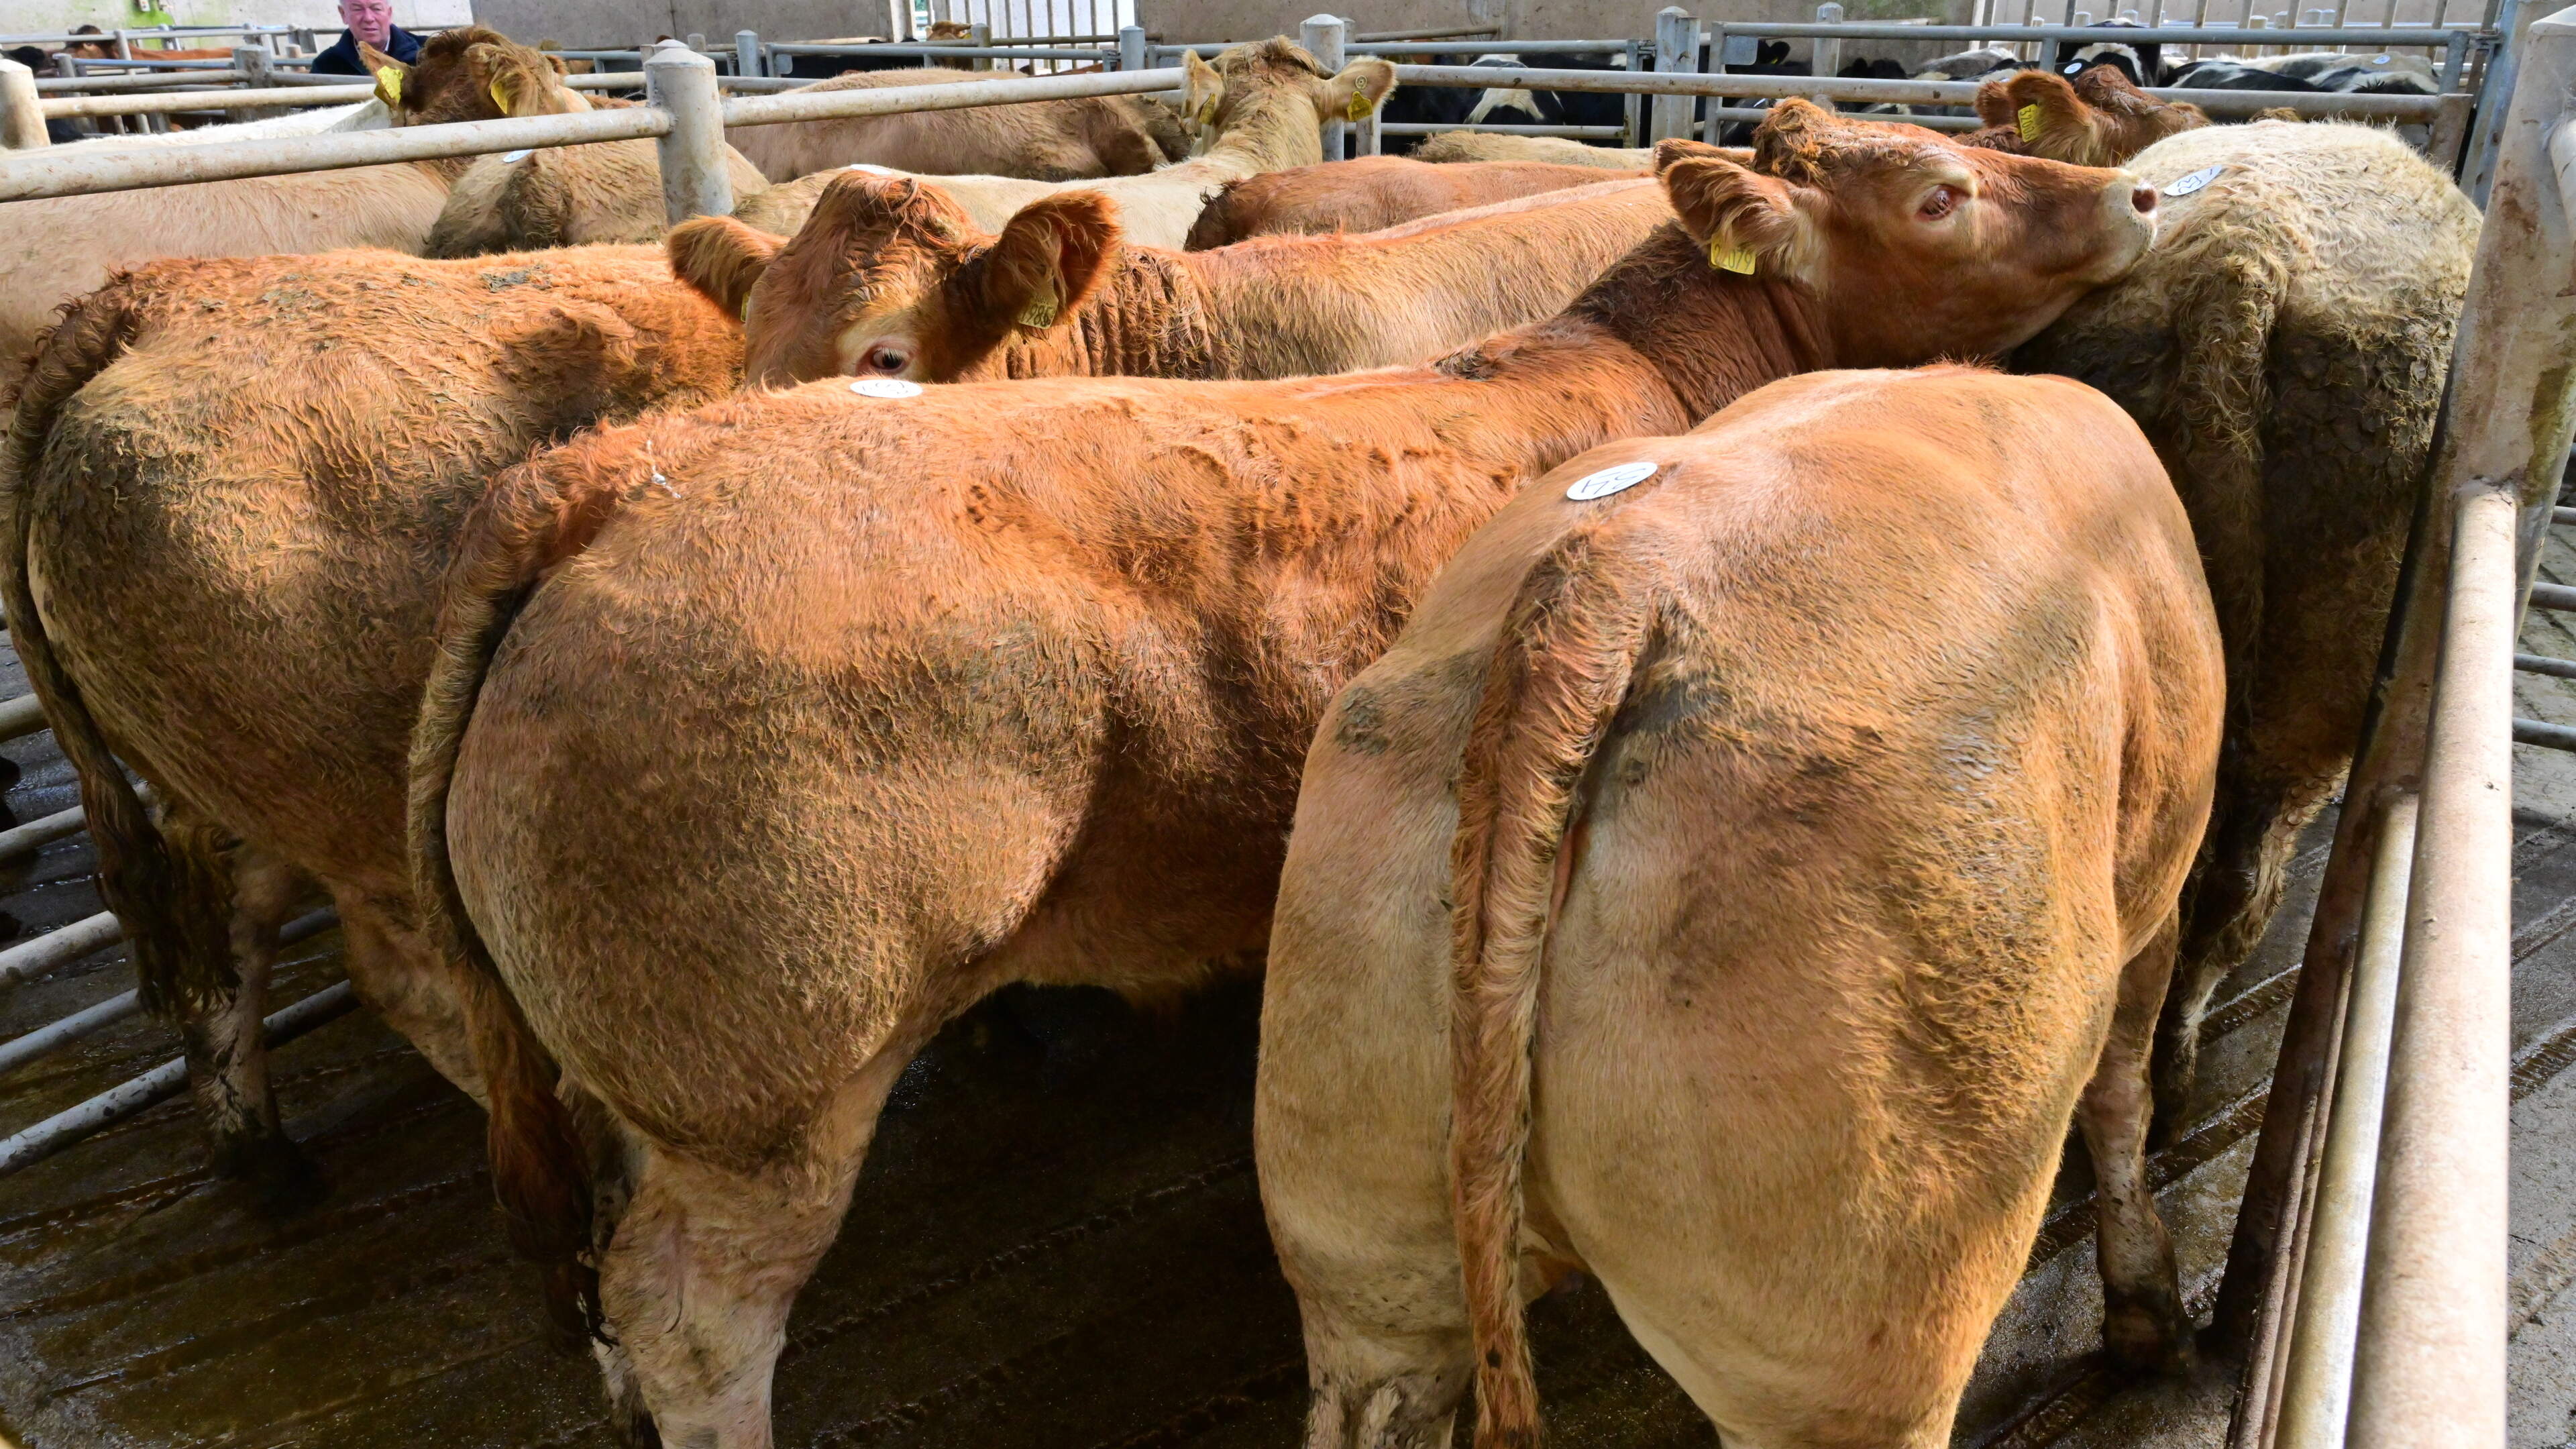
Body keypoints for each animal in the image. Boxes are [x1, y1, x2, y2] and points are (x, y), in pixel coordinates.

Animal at [0, 247, 741, 1201]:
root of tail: (148, 298)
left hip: (229, 778)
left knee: (227, 939)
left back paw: (267, 1166)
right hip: (380, 811)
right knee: (428, 991)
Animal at [1257, 365, 2224, 1449]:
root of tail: (1610, 579)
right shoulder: (2155, 888)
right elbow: (2124, 1094)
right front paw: (2148, 1315)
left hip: (1358, 1237)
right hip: (1857, 1302)